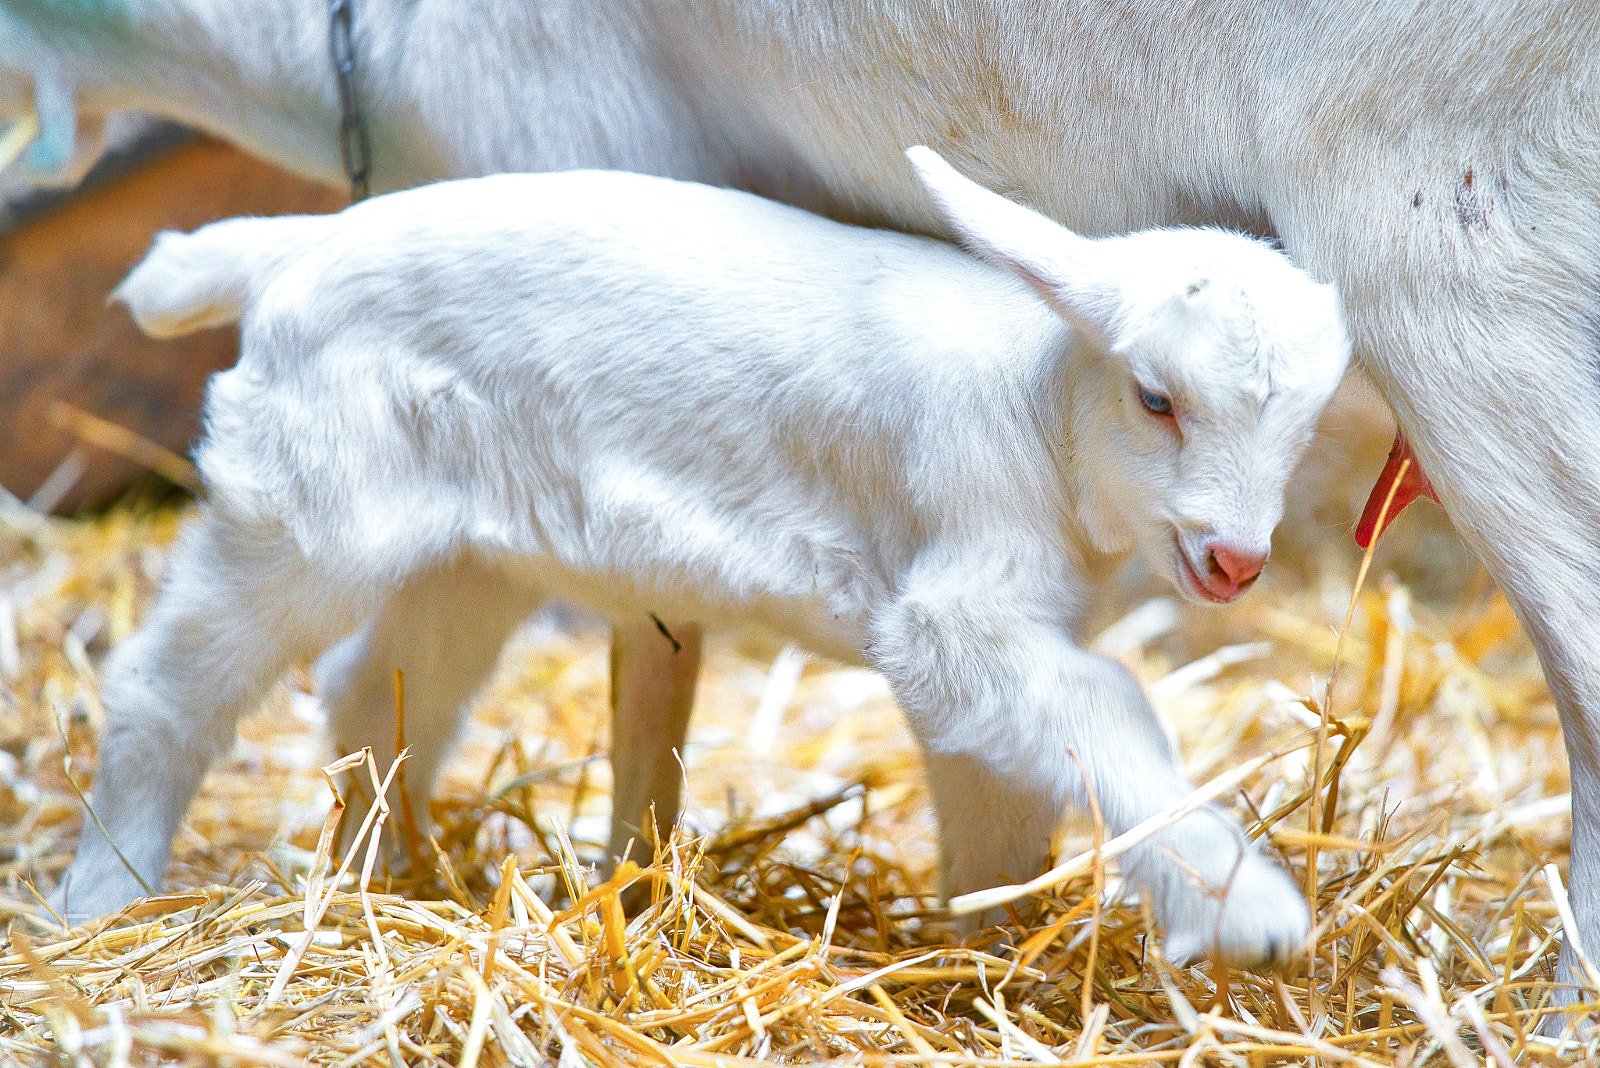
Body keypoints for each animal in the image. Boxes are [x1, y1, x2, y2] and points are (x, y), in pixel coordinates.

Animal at [53, 150, 1349, 964]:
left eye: (1304, 426)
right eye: (1154, 398)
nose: (1235, 561)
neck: (1033, 403)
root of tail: (294, 247)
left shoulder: (987, 644)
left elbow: (997, 786)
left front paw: (978, 946)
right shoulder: (955, 614)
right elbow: (1106, 706)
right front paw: (1246, 911)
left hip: (467, 554)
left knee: (377, 687)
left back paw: (382, 875)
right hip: (306, 503)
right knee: (170, 685)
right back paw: (101, 895)